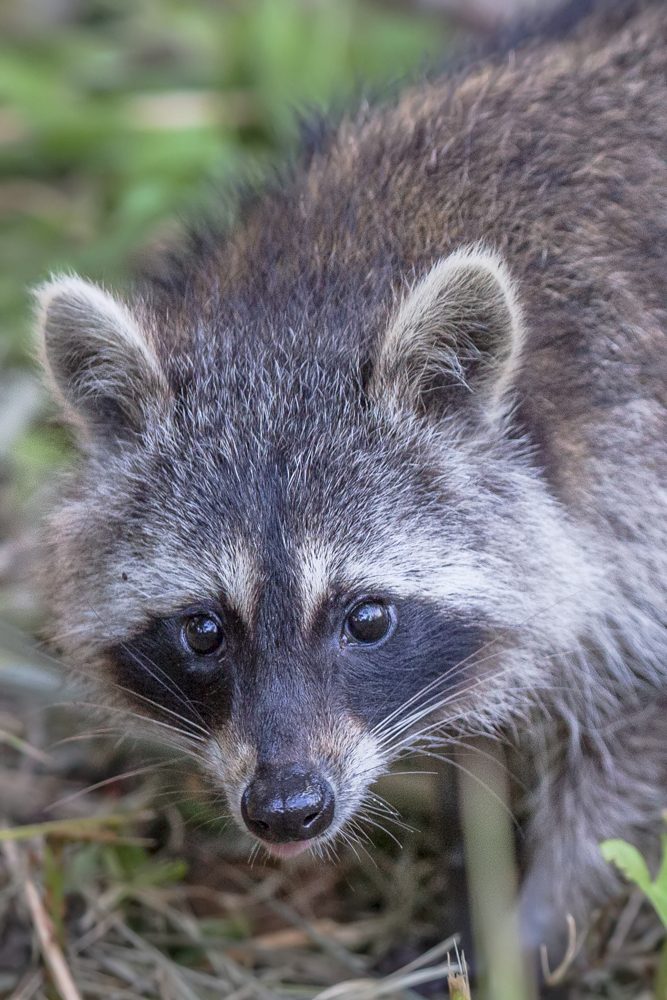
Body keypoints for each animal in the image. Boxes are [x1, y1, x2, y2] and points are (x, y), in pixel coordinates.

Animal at [35, 0, 667, 952]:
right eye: (202, 629)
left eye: (367, 617)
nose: (286, 808)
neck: (312, 297)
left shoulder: (632, 482)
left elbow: (618, 768)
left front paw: (528, 922)